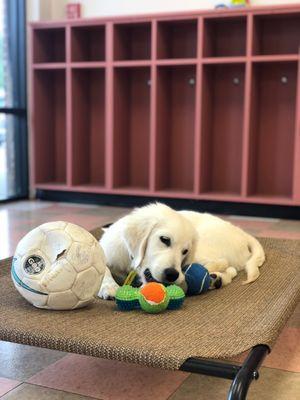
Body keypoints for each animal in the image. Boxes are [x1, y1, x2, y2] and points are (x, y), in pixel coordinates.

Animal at [97, 203, 264, 300]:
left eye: (185, 251)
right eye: (164, 239)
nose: (172, 274)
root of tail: (242, 233)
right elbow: (103, 268)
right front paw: (109, 286)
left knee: (223, 262)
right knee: (231, 269)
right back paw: (216, 279)